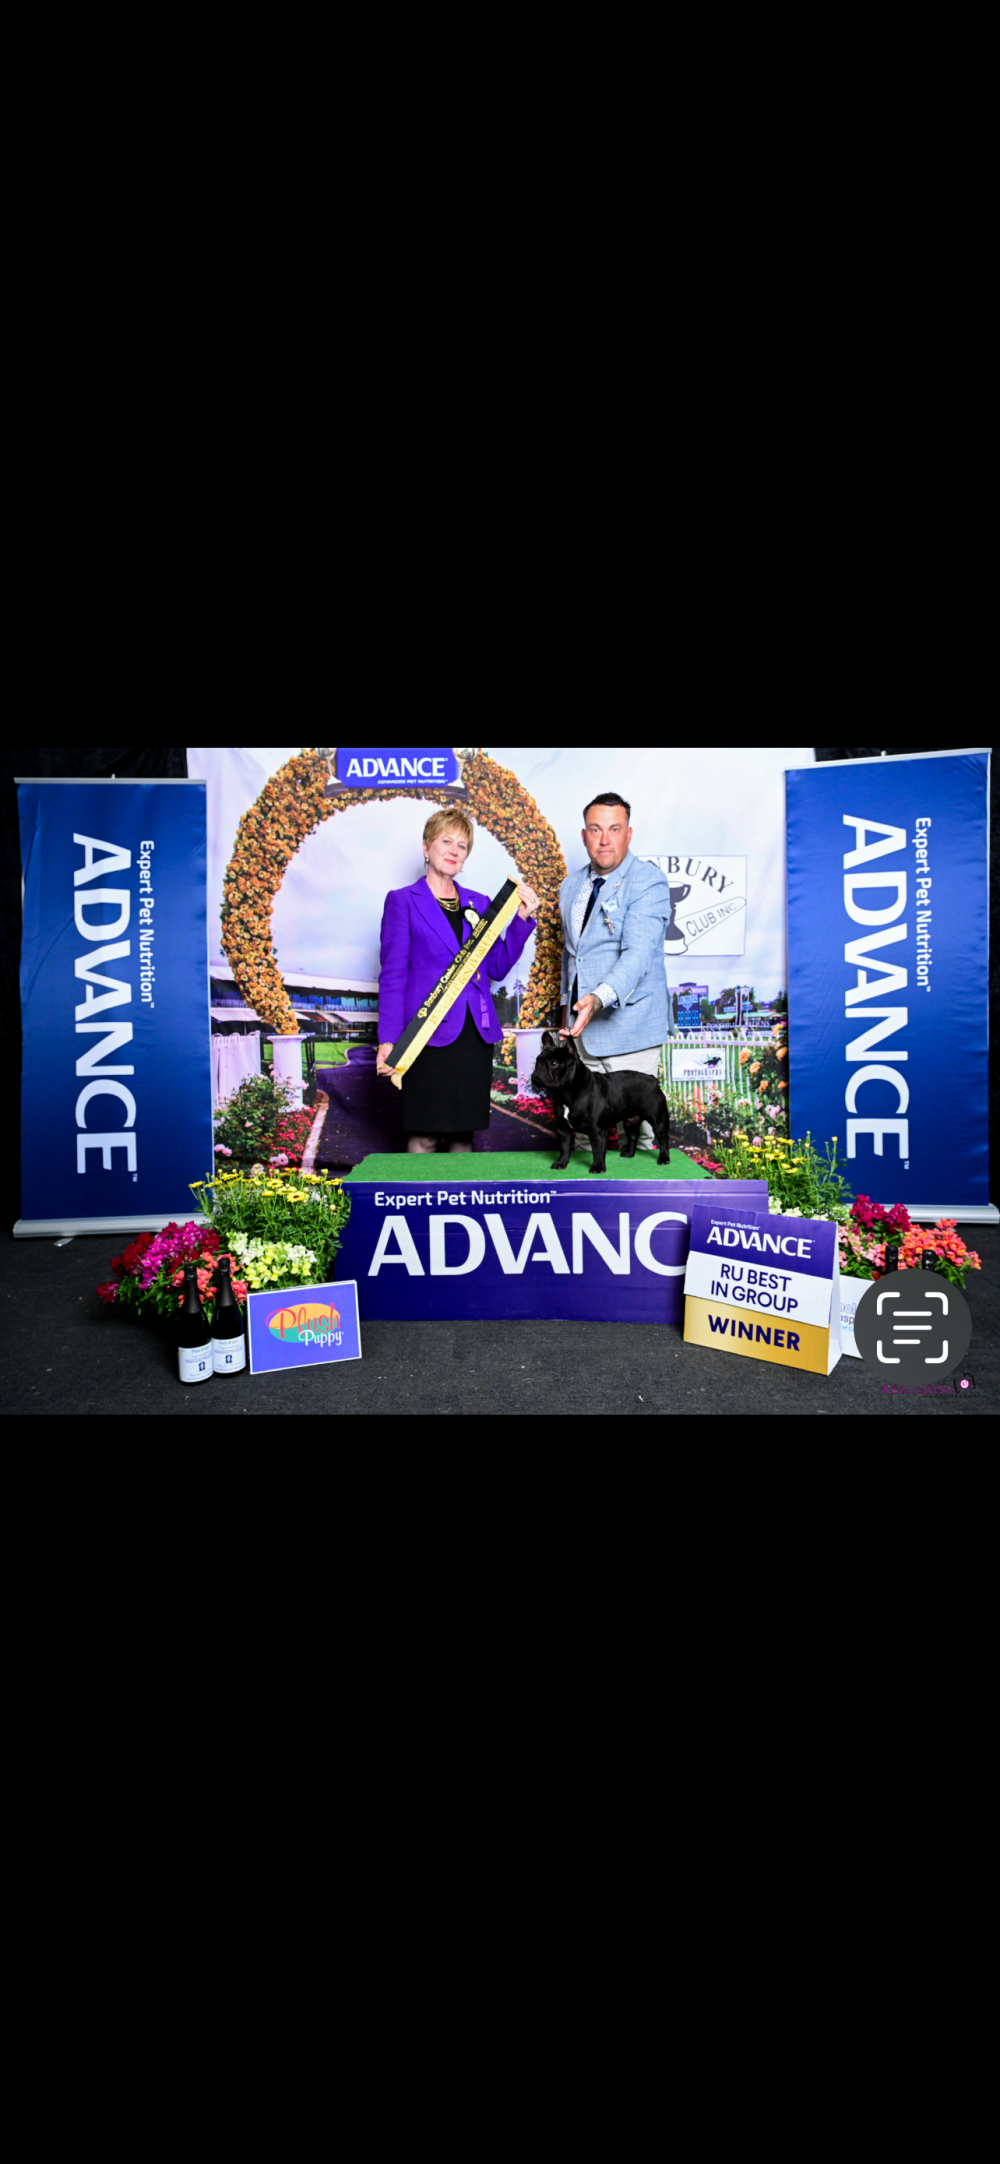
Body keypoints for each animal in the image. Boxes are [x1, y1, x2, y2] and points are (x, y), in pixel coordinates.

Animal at [530, 1032, 671, 1174]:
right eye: (538, 1060)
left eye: (553, 1063)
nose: (538, 1068)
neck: (566, 1092)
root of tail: (652, 1079)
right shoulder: (563, 1129)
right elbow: (565, 1148)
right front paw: (561, 1163)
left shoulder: (596, 1131)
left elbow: (597, 1150)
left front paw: (597, 1167)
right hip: (630, 1121)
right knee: (632, 1136)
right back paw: (629, 1154)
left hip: (658, 1120)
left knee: (663, 1140)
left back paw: (664, 1159)